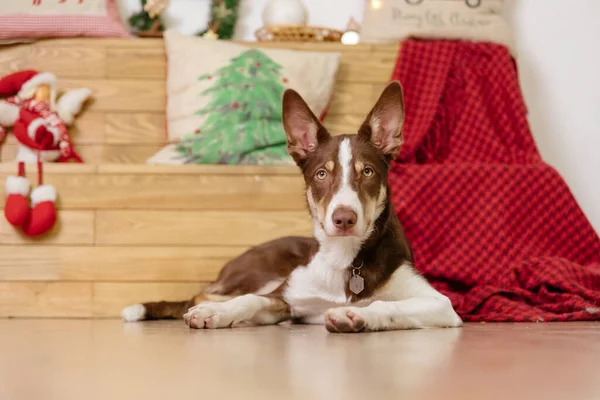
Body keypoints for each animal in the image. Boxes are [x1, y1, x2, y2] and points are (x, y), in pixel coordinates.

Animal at [119, 82, 462, 334]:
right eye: (321, 174)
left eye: (367, 172)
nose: (344, 219)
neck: (343, 258)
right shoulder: (284, 296)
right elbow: (248, 301)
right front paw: (214, 313)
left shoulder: (441, 304)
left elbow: (386, 305)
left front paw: (355, 315)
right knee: (202, 293)